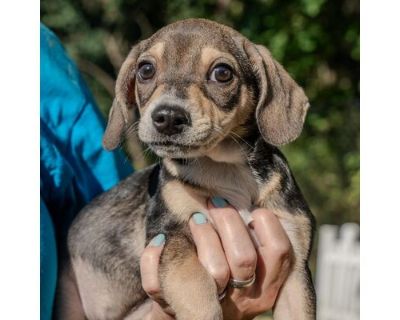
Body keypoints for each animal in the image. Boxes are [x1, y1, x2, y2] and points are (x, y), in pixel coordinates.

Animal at [60, 18, 316, 318]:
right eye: (146, 69)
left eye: (222, 73)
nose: (168, 117)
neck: (224, 168)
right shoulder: (169, 236)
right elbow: (196, 285)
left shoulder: (295, 266)